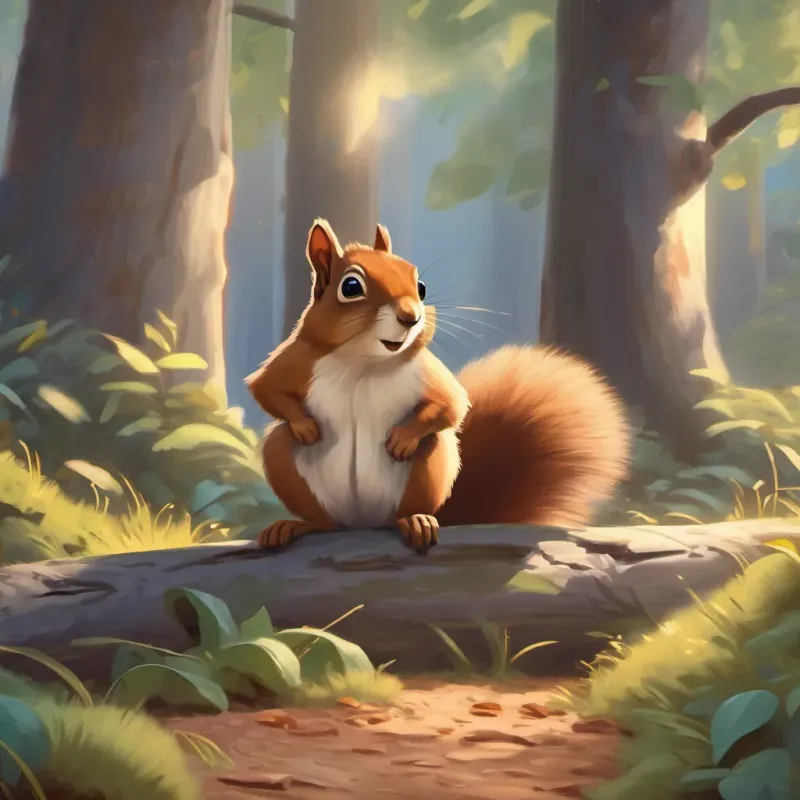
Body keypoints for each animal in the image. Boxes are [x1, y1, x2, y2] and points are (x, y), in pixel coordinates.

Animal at [247, 218, 631, 554]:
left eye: (420, 287)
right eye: (351, 287)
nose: (411, 316)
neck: (365, 360)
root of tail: (362, 522)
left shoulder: (427, 371)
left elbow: (451, 404)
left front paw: (403, 439)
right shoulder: (299, 358)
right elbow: (265, 388)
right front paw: (306, 427)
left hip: (430, 463)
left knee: (419, 476)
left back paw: (415, 520)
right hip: (285, 462)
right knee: (315, 504)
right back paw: (298, 524)